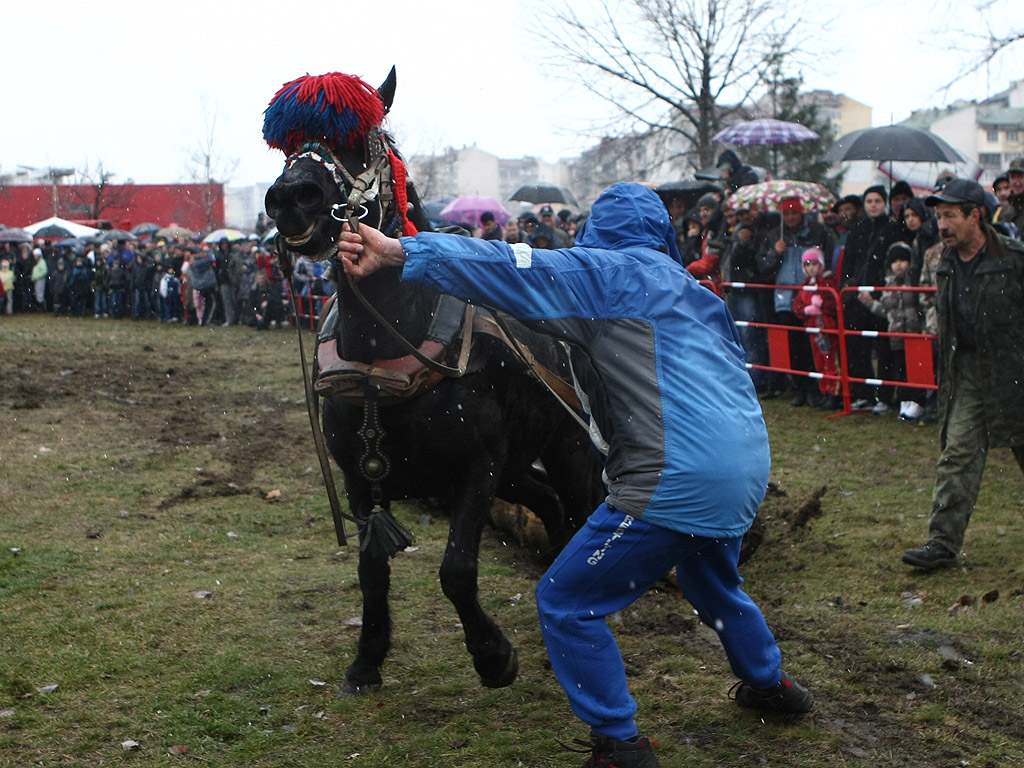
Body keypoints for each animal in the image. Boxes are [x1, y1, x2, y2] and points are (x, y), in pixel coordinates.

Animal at [262, 70, 606, 696]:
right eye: (286, 147)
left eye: (361, 138)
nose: (292, 198)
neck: (387, 348)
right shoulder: (360, 478)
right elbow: (371, 569)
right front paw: (367, 660)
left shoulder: (475, 467)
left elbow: (457, 570)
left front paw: (494, 656)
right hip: (514, 467)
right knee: (548, 506)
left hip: (564, 449)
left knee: (578, 507)